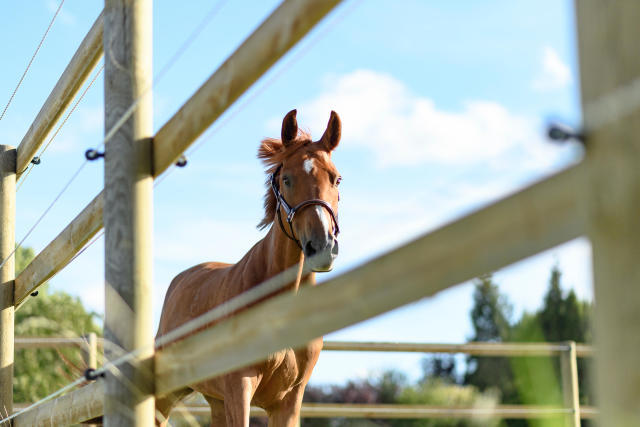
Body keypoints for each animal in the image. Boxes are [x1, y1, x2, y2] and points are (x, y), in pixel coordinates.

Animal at [154, 108, 342, 426]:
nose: (322, 246)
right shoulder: (239, 388)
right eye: (287, 179)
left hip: (215, 400)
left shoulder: (289, 401)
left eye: (336, 179)